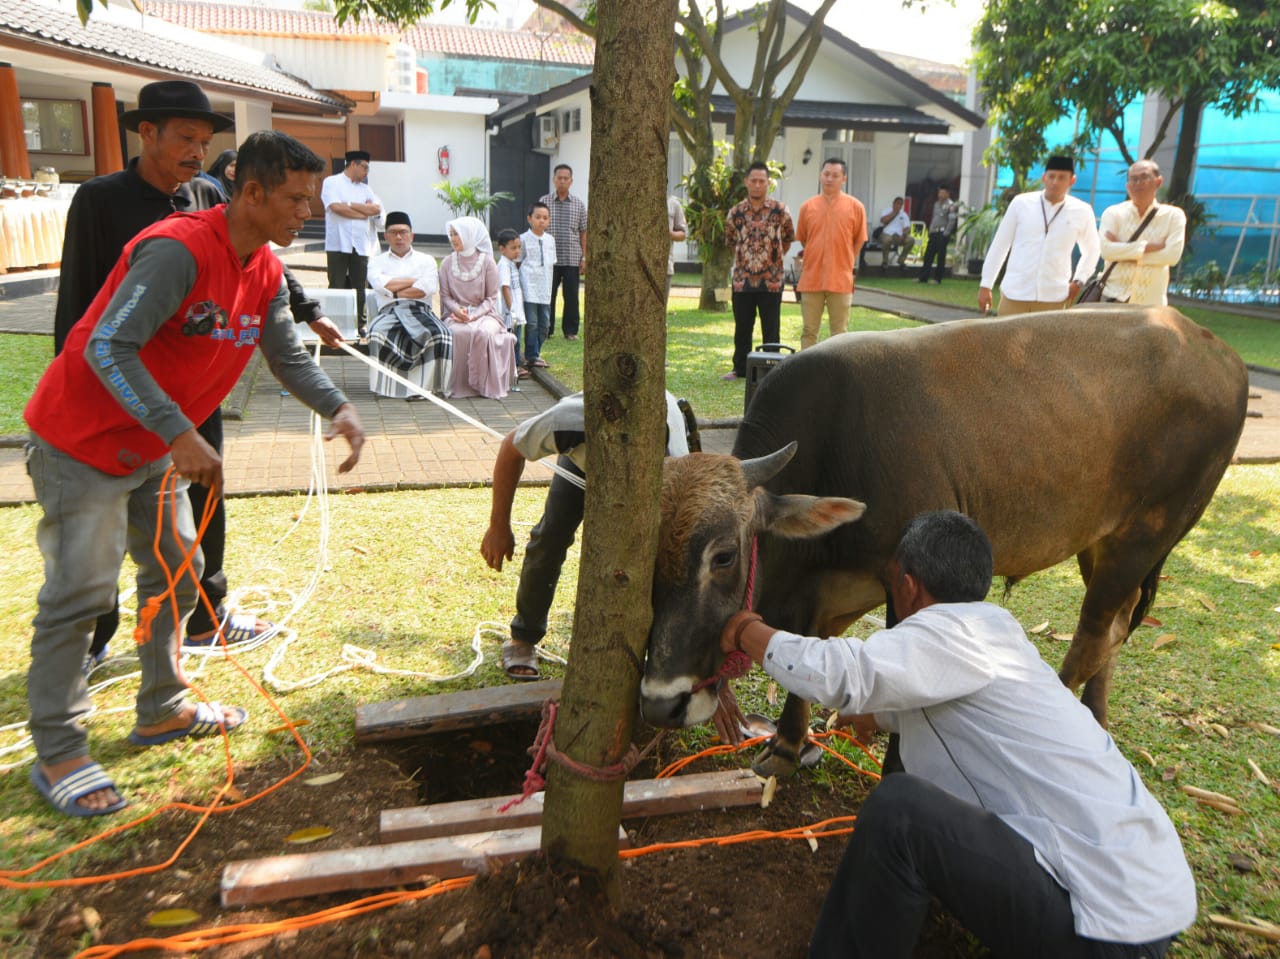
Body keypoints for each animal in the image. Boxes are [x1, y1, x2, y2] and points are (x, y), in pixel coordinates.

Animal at [645, 308, 1244, 778]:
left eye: (724, 555)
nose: (660, 702)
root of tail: (1216, 350)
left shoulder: (903, 584)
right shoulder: (821, 592)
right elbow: (805, 660)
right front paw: (789, 746)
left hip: (1143, 537)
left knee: (1094, 636)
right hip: (1100, 544)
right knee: (1115, 632)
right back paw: (1098, 721)